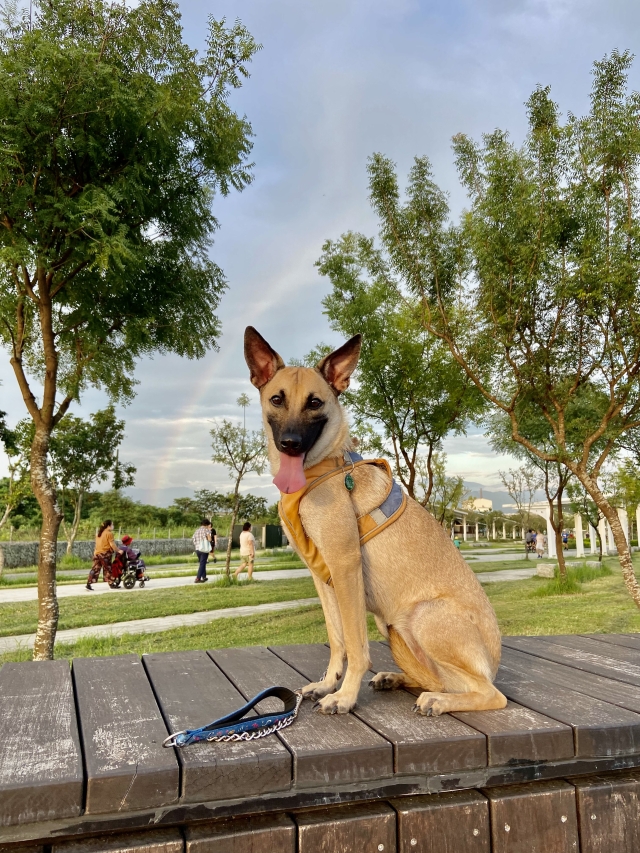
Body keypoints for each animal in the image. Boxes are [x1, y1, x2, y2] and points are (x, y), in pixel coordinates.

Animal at [244, 324, 504, 712]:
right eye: (277, 399)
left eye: (315, 403)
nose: (290, 443)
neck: (320, 469)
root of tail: (494, 664)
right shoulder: (323, 578)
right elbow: (337, 640)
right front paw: (328, 683)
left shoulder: (345, 566)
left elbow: (355, 645)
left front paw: (345, 695)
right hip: (393, 626)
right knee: (441, 679)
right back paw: (398, 679)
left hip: (424, 616)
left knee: (488, 694)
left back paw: (439, 701)